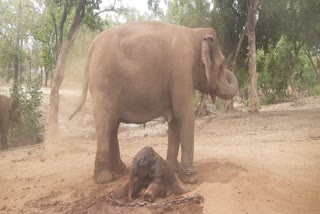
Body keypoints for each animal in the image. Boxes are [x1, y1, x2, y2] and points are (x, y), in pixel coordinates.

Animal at [70, 21, 240, 184]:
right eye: (222, 65)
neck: (194, 32)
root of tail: (92, 45)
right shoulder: (181, 71)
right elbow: (184, 114)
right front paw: (191, 179)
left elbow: (174, 119)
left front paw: (172, 169)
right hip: (103, 82)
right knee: (105, 123)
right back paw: (104, 178)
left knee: (112, 124)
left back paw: (119, 170)